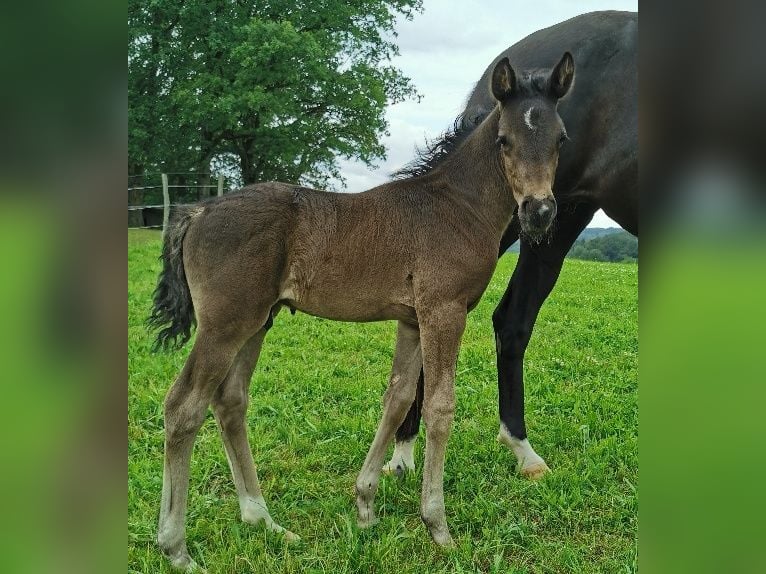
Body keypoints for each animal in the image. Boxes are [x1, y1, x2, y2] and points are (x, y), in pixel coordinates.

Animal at [152, 55, 576, 572]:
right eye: (504, 140)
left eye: (560, 139)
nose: (539, 212)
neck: (456, 205)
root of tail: (197, 211)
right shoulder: (444, 310)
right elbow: (439, 407)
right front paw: (438, 525)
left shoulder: (411, 319)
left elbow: (397, 398)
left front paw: (365, 505)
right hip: (224, 325)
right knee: (183, 407)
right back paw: (176, 547)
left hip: (257, 322)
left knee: (229, 402)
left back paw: (263, 520)